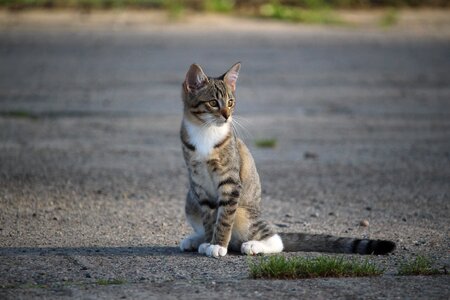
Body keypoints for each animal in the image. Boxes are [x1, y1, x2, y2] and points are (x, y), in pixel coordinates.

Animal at [178, 61, 396, 258]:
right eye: (213, 103)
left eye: (231, 102)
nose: (227, 116)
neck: (205, 132)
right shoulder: (198, 185)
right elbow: (208, 218)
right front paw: (208, 242)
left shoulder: (230, 183)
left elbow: (223, 219)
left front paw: (218, 245)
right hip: (190, 199)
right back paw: (195, 240)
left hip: (242, 212)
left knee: (275, 240)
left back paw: (252, 245)